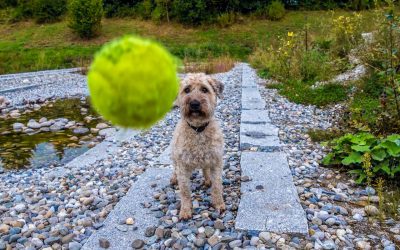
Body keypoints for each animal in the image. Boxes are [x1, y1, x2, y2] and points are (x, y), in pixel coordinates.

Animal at [169, 72, 225, 219]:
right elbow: (184, 191)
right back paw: (173, 178)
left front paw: (219, 204)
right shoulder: (182, 166)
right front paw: (185, 210)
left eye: (204, 89)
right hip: (174, 156)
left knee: (205, 169)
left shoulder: (216, 161)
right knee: (174, 168)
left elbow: (217, 185)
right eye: (187, 90)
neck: (198, 129)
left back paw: (207, 179)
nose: (194, 103)